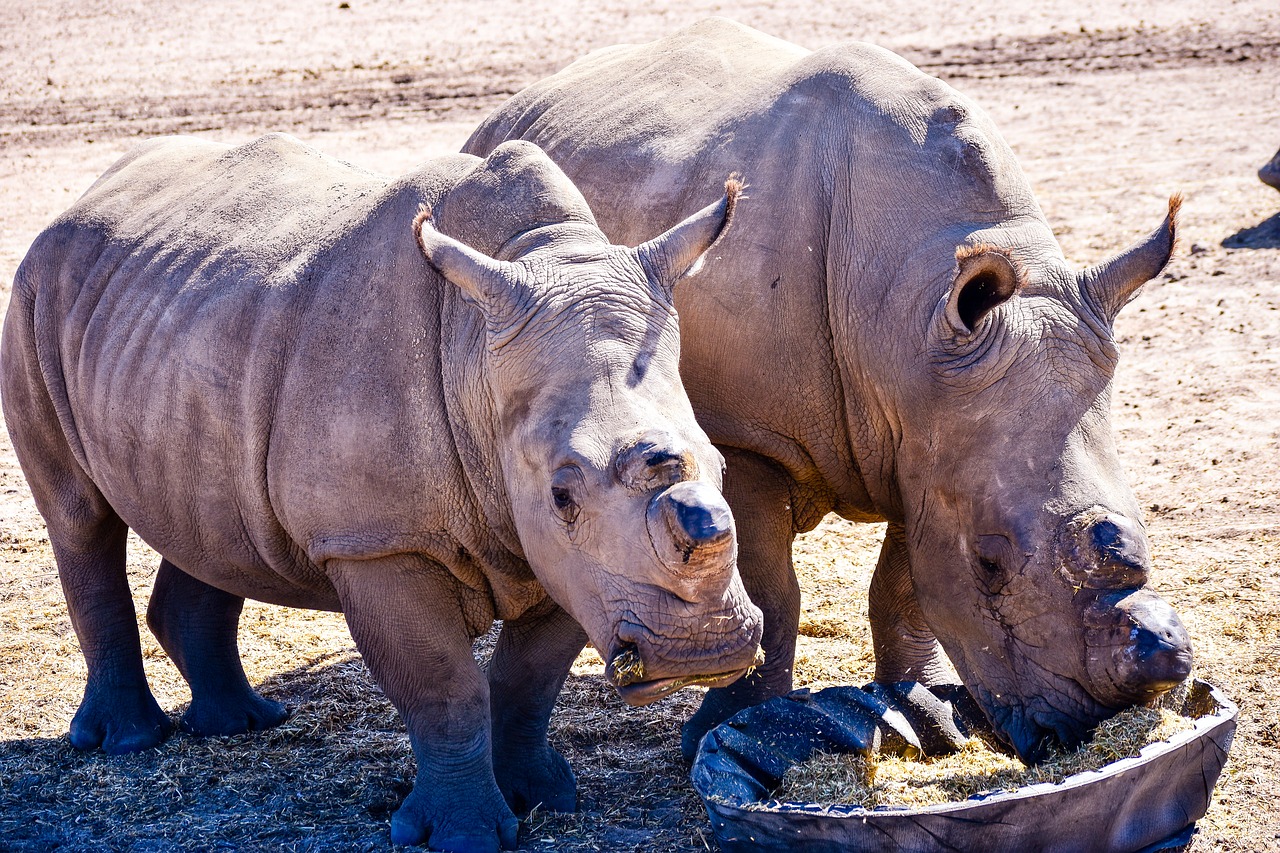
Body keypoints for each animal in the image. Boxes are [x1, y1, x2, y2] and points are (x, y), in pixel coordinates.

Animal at [0, 136, 762, 845]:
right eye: (562, 496)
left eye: (722, 467)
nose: (704, 650)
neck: (477, 358)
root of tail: (81, 200)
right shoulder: (379, 543)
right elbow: (443, 685)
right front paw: (463, 835)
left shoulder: (578, 564)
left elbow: (528, 677)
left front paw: (540, 798)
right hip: (35, 293)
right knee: (79, 518)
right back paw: (129, 741)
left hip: (176, 327)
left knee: (206, 520)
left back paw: (242, 723)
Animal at [465, 18, 1192, 763]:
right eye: (990, 562)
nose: (1082, 731)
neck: (908, 324)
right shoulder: (746, 436)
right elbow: (769, 586)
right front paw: (728, 725)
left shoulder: (928, 439)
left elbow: (904, 584)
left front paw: (930, 715)